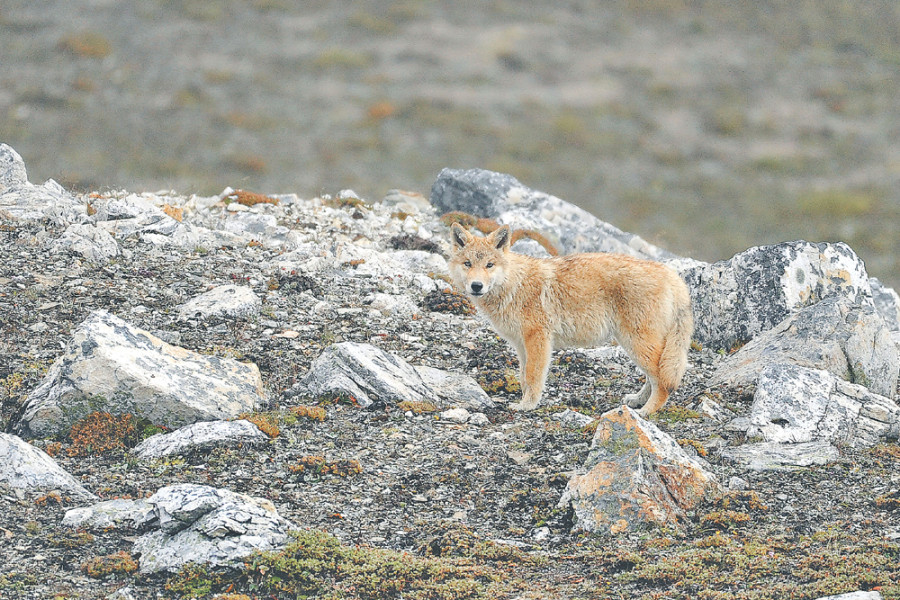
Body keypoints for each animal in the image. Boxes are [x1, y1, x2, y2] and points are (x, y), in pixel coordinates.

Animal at [448, 223, 693, 416]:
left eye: (489, 265)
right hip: (634, 345)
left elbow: (533, 376)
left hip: (636, 343)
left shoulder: (538, 339)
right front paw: (524, 401)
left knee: (663, 382)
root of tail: (670, 275)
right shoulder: (520, 345)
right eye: (468, 264)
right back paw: (637, 401)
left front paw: (527, 406)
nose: (476, 286)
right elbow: (523, 377)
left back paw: (646, 411)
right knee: (652, 378)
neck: (513, 285)